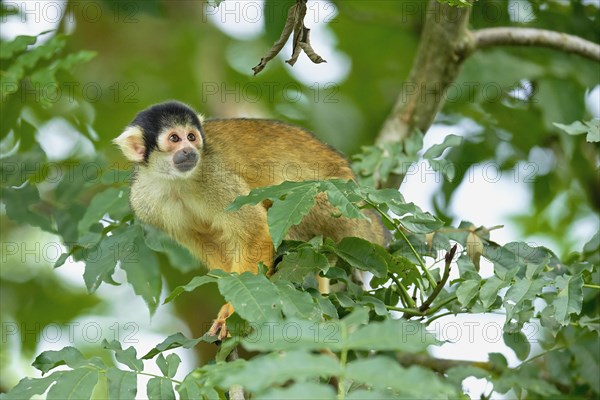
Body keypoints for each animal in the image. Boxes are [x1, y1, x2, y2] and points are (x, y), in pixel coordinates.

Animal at [115, 101, 386, 338]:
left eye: (191, 137)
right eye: (174, 138)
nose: (189, 151)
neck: (175, 181)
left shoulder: (215, 177)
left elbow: (254, 233)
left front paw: (231, 311)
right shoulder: (145, 202)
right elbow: (210, 244)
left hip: (337, 207)